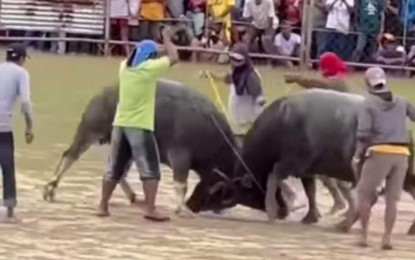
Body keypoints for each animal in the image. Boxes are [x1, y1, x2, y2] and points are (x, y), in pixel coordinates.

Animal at [42, 78, 239, 215]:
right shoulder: (180, 155)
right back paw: (51, 187)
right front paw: (180, 209)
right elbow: (181, 185)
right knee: (70, 155)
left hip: (122, 145)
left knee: (118, 171)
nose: (193, 206)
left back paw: (133, 196)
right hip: (90, 129)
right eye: (221, 197)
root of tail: (102, 93)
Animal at [187, 88, 415, 235]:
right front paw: (310, 216)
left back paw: (344, 225)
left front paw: (271, 210)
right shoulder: (307, 169)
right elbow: (310, 189)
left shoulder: (291, 163)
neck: (283, 122)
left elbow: (273, 178)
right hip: (406, 176)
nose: (190, 204)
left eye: (214, 191)